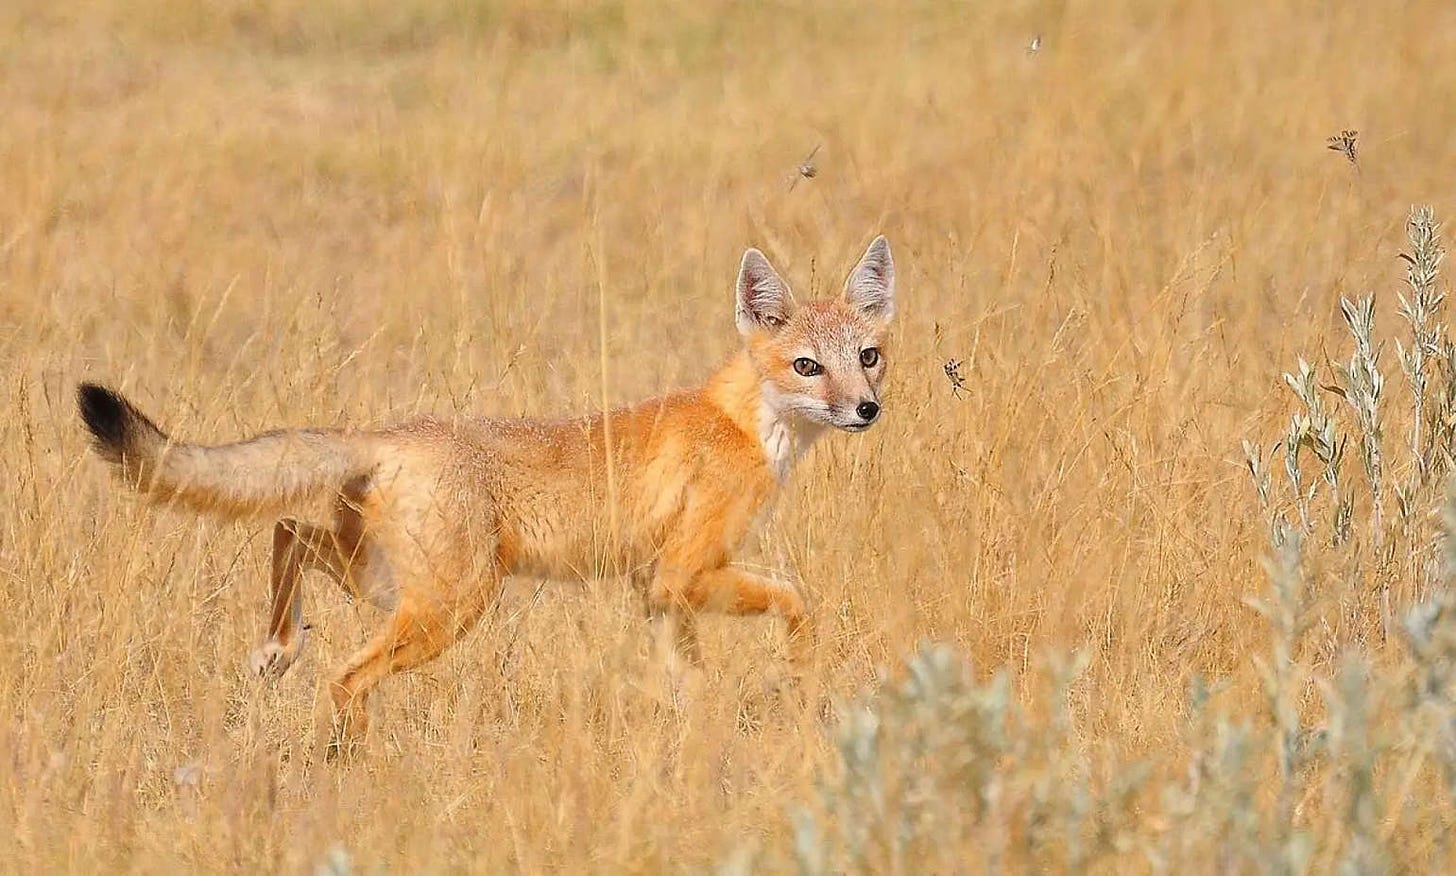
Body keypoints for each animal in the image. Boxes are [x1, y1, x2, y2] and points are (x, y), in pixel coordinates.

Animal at [82, 234, 896, 750]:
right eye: (806, 366)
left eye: (867, 356)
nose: (867, 410)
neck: (741, 421)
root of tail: (394, 435)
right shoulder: (682, 574)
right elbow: (800, 602)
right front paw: (796, 683)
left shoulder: (656, 593)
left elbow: (692, 685)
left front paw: (706, 746)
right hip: (449, 606)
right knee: (346, 674)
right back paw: (351, 762)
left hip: (385, 583)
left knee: (287, 530)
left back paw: (277, 649)